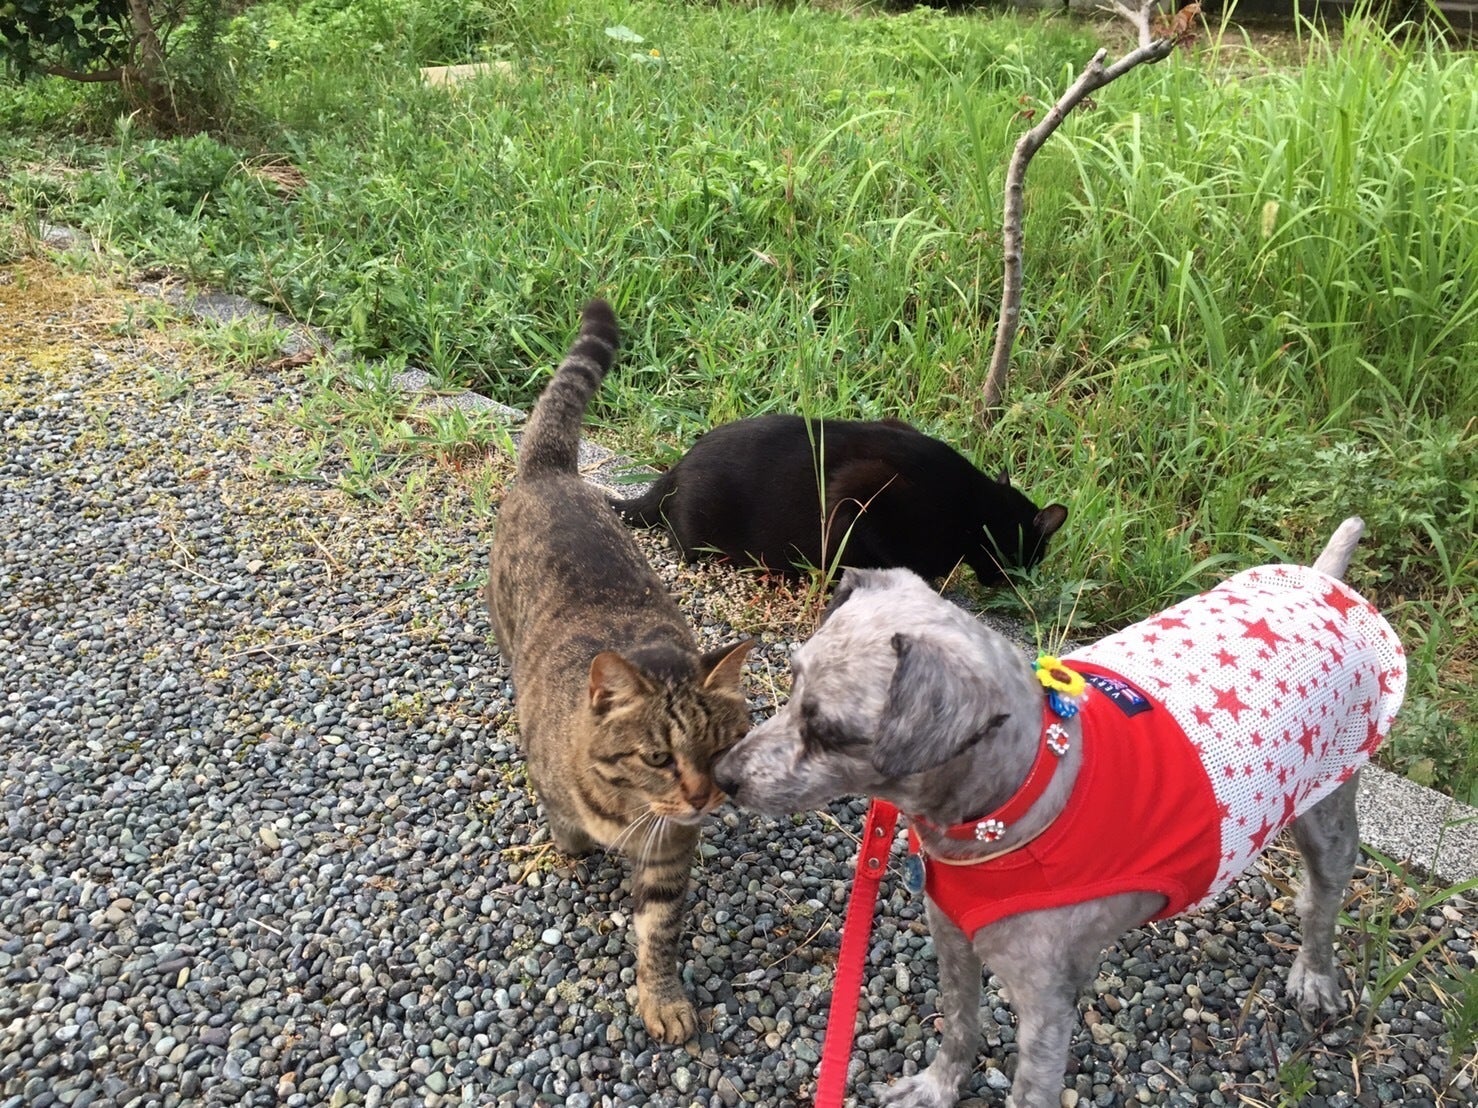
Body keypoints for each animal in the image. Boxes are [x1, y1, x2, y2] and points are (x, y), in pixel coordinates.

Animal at [485, 300, 754, 1043]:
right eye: (659, 757)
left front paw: (661, 998)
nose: (705, 797)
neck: (628, 808)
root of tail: (552, 472)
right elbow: (565, 825)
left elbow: (657, 934)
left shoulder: (670, 856)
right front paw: (572, 844)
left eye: (719, 749)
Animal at [715, 518, 1406, 1107]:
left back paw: (1315, 976)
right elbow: (960, 1026)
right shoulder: (953, 938)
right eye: (792, 681)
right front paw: (938, 1087)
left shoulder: (1046, 1007)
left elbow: (1029, 1088)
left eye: (830, 733)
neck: (1016, 804)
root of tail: (1324, 582)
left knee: (1324, 900)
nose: (723, 776)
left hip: (1329, 805)